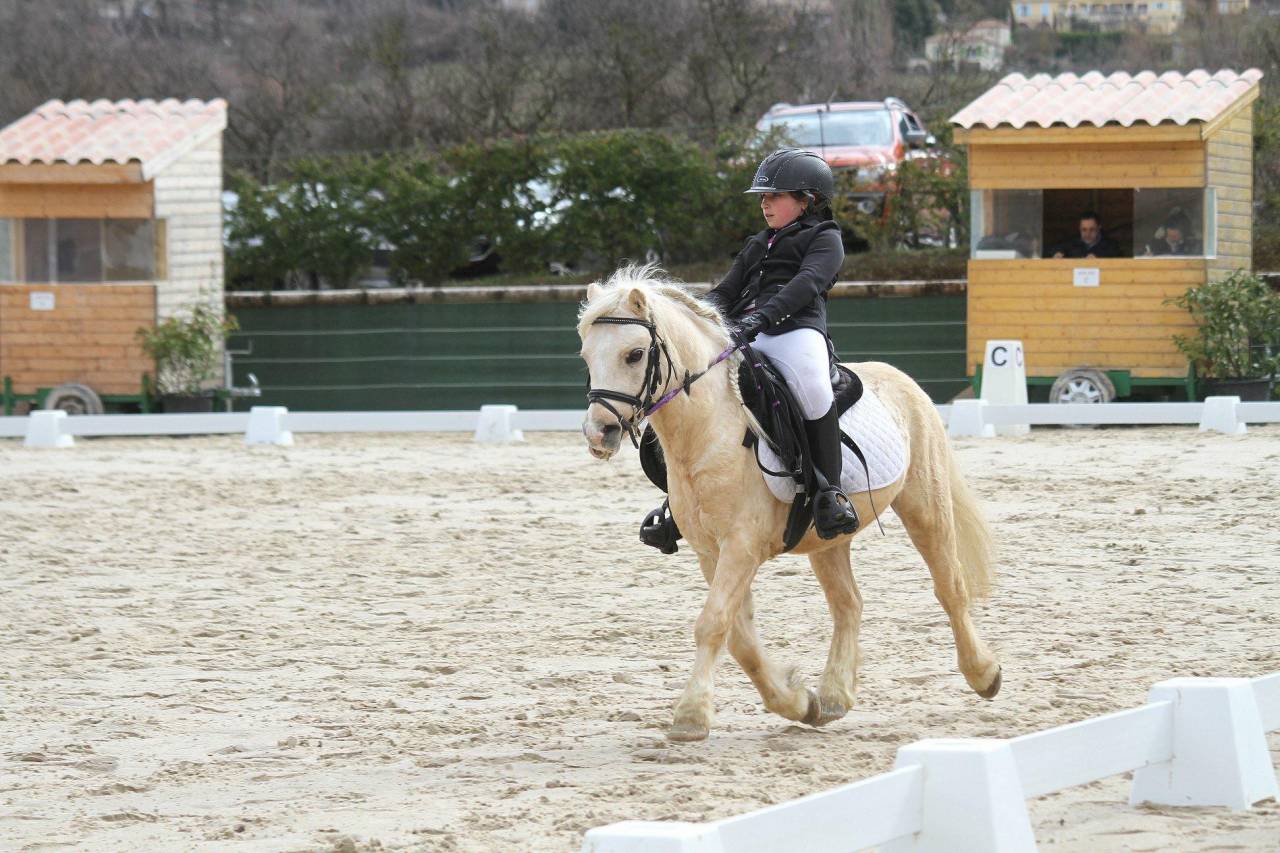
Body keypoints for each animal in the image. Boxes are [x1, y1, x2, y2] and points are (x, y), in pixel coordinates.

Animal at [577, 266, 1002, 742]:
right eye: (586, 356)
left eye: (634, 355)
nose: (599, 434)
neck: (708, 430)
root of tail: (900, 378)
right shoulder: (711, 551)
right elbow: (739, 636)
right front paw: (798, 703)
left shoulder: (741, 546)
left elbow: (713, 623)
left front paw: (690, 717)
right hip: (828, 538)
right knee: (848, 603)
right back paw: (833, 697)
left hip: (925, 507)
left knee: (950, 587)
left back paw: (984, 674)